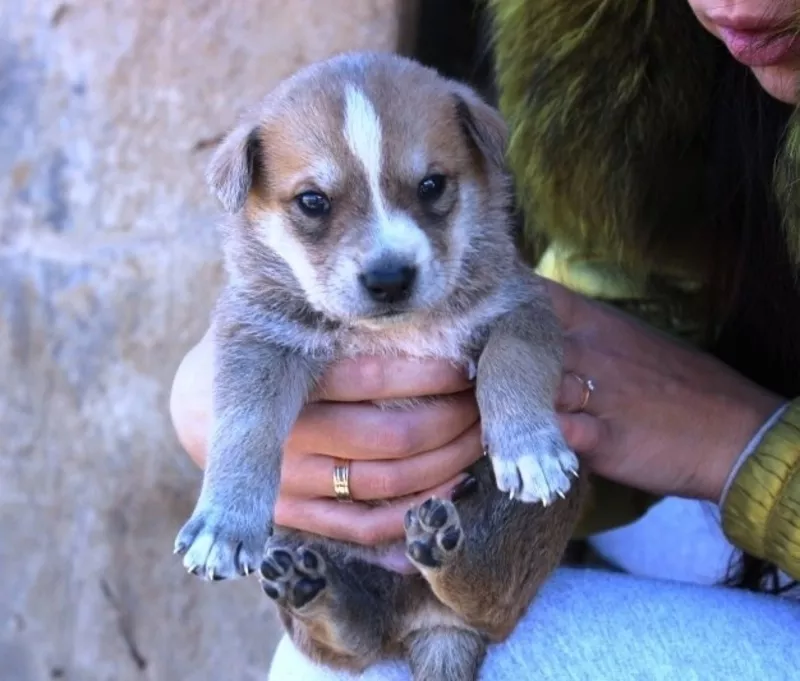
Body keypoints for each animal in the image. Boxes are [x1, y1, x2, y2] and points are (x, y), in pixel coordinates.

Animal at [175, 50, 588, 676]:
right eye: (313, 201)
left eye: (432, 185)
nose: (390, 278)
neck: (389, 334)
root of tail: (428, 626)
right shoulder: (260, 337)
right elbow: (246, 426)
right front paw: (223, 524)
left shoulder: (520, 307)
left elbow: (510, 365)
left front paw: (529, 450)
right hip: (305, 549)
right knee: (357, 635)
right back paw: (316, 590)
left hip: (532, 525)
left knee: (487, 596)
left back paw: (442, 546)